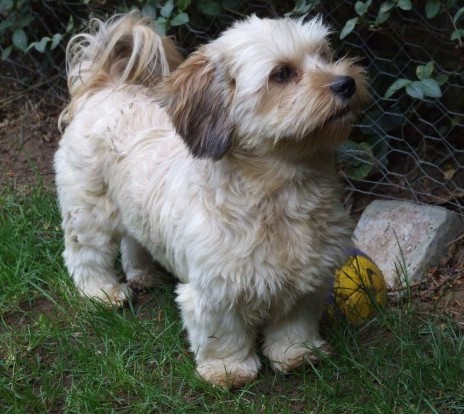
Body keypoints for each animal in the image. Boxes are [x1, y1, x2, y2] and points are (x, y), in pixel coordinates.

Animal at [54, 9, 368, 388]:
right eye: (281, 74)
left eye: (324, 55)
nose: (346, 83)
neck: (282, 193)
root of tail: (104, 87)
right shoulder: (215, 290)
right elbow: (223, 333)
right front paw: (229, 371)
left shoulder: (309, 280)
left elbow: (294, 323)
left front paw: (297, 355)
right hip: (88, 212)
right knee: (85, 254)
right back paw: (102, 293)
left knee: (133, 240)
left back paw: (142, 274)